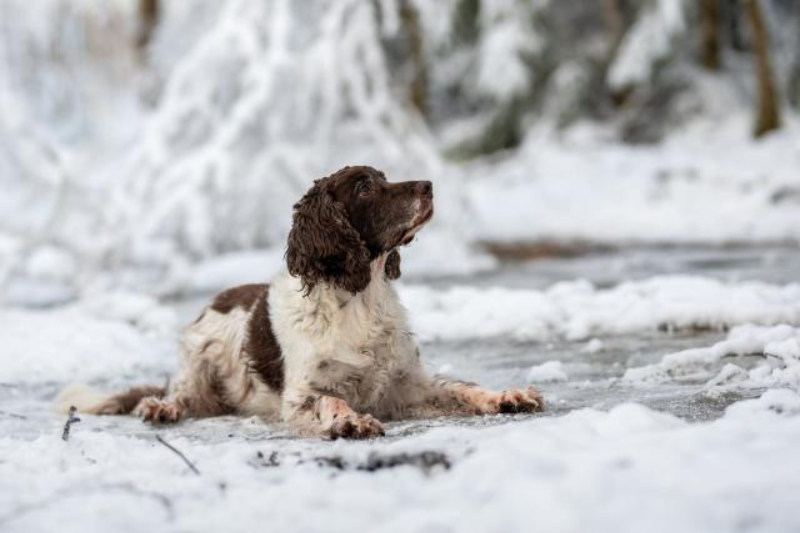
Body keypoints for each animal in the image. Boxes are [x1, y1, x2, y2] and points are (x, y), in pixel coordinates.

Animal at [59, 165, 540, 436]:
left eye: (385, 178)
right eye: (364, 188)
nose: (429, 185)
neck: (358, 298)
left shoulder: (406, 385)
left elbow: (461, 387)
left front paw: (508, 395)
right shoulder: (301, 395)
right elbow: (331, 400)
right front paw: (352, 421)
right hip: (196, 362)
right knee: (177, 394)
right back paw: (160, 406)